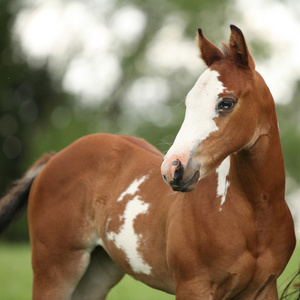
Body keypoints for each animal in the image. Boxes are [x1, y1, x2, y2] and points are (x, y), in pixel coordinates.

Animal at [0, 25, 296, 300]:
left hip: (97, 272)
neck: (255, 212)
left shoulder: (264, 289)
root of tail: (54, 158)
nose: (173, 168)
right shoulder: (194, 286)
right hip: (55, 269)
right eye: (188, 104)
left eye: (226, 103)